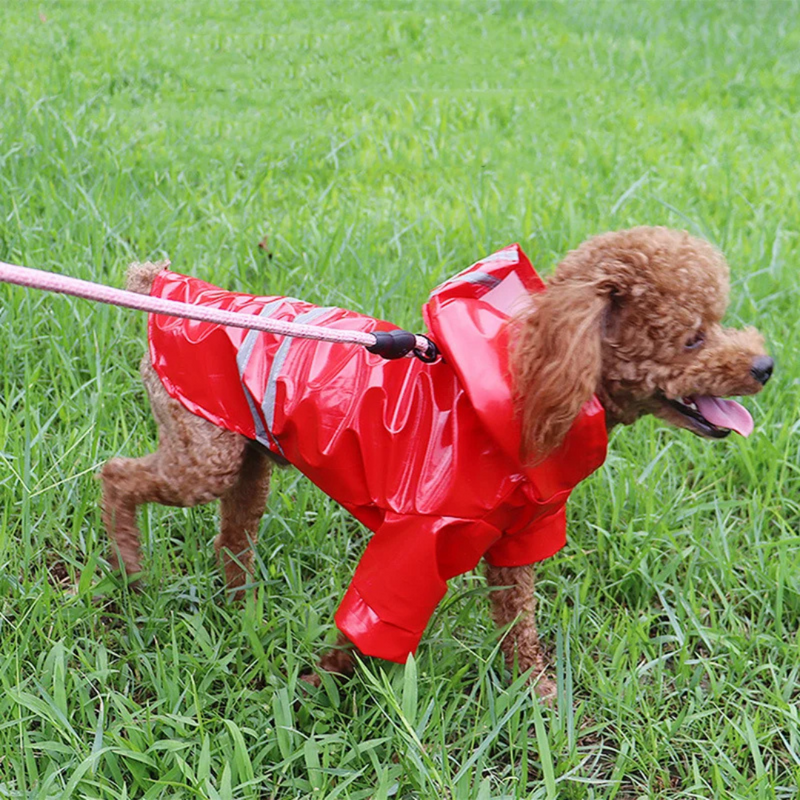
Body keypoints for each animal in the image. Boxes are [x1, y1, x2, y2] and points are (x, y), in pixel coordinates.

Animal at [98, 225, 768, 692]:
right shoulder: (413, 539)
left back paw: (242, 609)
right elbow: (371, 622)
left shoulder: (519, 537)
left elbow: (519, 623)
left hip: (248, 457)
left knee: (232, 537)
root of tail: (166, 284)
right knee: (116, 475)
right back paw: (129, 568)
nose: (765, 365)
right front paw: (320, 687)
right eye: (693, 338)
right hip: (203, 451)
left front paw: (539, 700)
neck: (526, 384)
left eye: (719, 322)